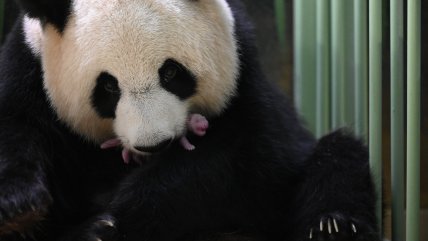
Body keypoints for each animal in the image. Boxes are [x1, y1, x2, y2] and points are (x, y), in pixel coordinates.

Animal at [0, 0, 380, 241]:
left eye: (171, 72)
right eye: (107, 86)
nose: (154, 144)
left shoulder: (242, 78)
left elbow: (229, 160)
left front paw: (113, 221)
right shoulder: (31, 67)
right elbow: (16, 126)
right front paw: (22, 210)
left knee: (338, 157)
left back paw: (332, 227)